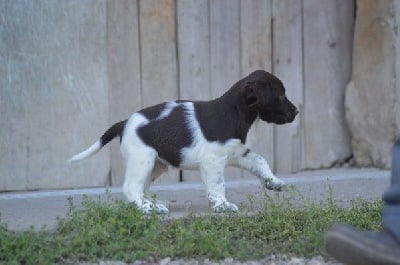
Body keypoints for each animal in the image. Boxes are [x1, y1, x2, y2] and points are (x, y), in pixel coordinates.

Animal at [70, 69, 298, 212]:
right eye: (280, 96)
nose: (296, 111)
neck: (235, 113)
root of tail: (124, 122)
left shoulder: (239, 154)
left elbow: (261, 161)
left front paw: (273, 182)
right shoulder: (213, 160)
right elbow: (218, 184)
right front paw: (222, 205)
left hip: (155, 165)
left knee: (141, 188)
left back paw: (151, 205)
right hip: (142, 159)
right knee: (131, 187)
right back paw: (146, 209)